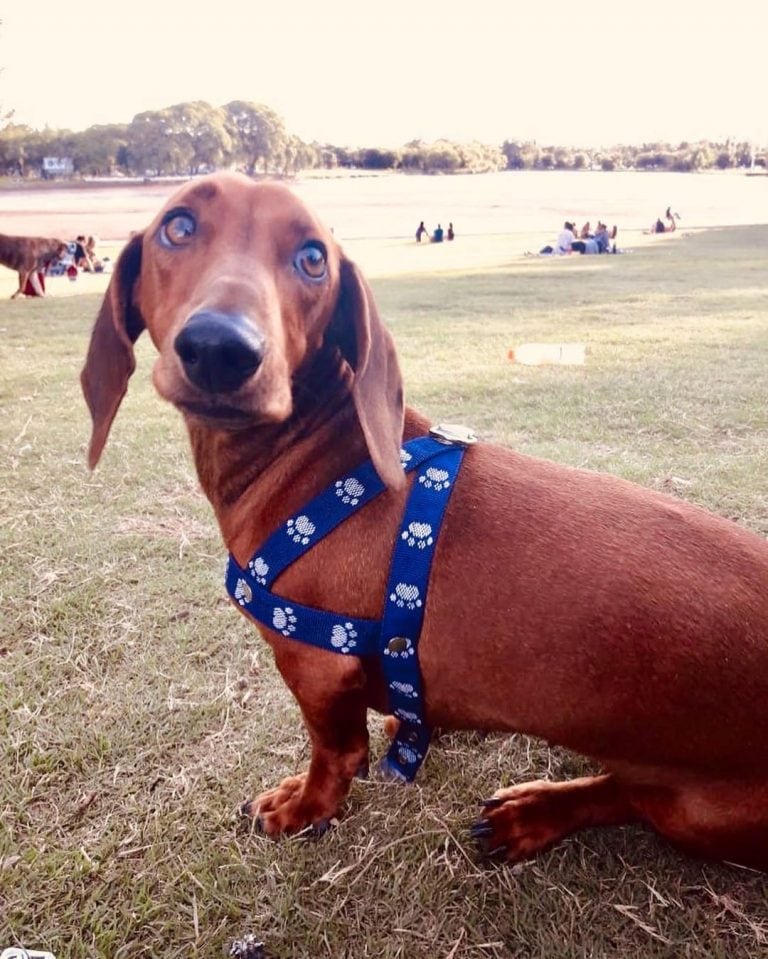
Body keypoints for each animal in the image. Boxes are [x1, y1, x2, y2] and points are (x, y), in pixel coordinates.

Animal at [79, 172, 768, 872]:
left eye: (313, 258)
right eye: (178, 226)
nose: (221, 349)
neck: (318, 455)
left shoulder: (314, 667)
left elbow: (335, 755)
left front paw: (305, 807)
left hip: (696, 812)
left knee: (629, 797)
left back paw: (538, 812)